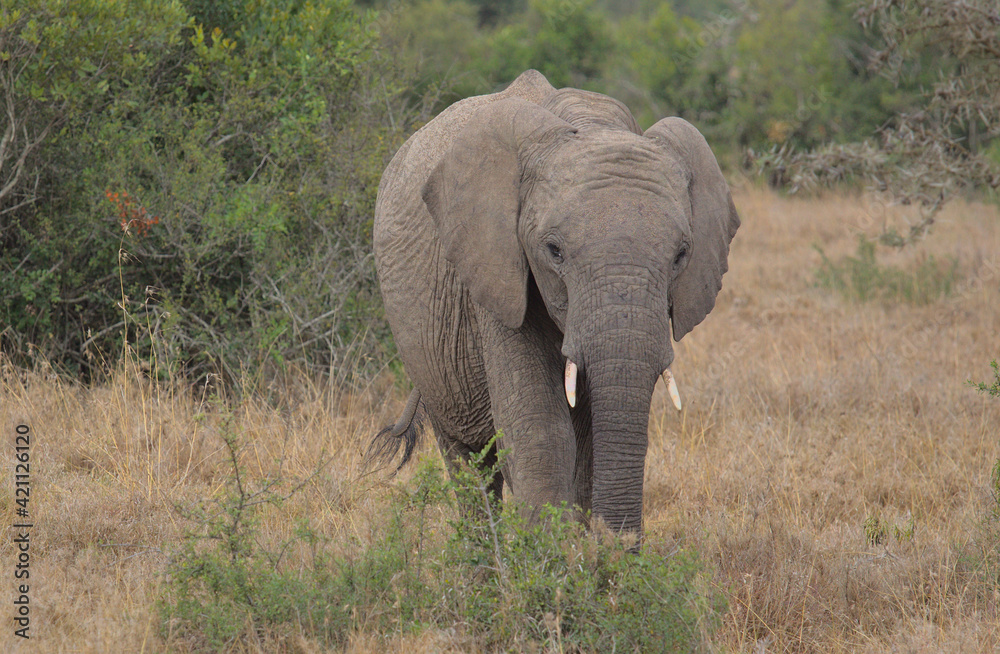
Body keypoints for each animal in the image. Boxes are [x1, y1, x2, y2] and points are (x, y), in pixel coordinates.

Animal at [372, 69, 740, 540]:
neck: (591, 122)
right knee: (468, 459)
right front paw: (550, 559)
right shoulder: (496, 267)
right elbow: (539, 429)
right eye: (554, 251)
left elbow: (588, 436)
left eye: (681, 256)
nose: (620, 544)